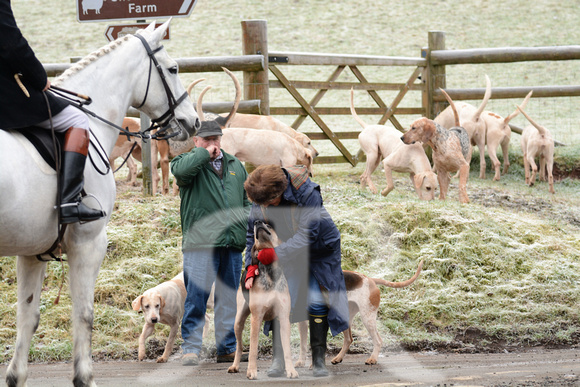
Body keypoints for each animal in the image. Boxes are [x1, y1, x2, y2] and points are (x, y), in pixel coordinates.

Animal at [0, 21, 199, 387]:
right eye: (174, 69)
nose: (193, 121)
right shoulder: (89, 243)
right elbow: (84, 314)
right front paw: (84, 376)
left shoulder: (32, 251)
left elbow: (28, 316)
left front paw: (16, 375)